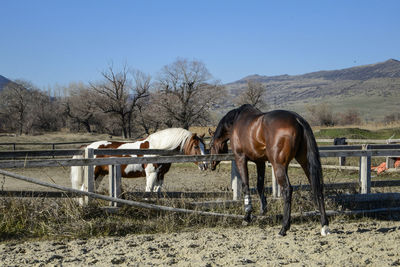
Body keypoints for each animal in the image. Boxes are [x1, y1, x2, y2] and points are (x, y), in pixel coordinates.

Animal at [70, 127, 206, 199]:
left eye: (204, 145)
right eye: (195, 146)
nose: (204, 165)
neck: (157, 148)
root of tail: (88, 146)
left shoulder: (161, 175)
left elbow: (156, 192)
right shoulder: (151, 174)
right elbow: (148, 192)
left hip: (100, 175)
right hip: (94, 174)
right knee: (84, 189)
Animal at [208, 104, 330, 237]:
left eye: (210, 145)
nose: (211, 164)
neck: (236, 121)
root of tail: (298, 120)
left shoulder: (240, 158)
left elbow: (246, 185)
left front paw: (247, 216)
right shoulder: (260, 162)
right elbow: (259, 185)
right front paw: (263, 210)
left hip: (278, 165)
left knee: (287, 189)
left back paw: (283, 228)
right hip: (305, 162)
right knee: (317, 187)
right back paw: (324, 225)